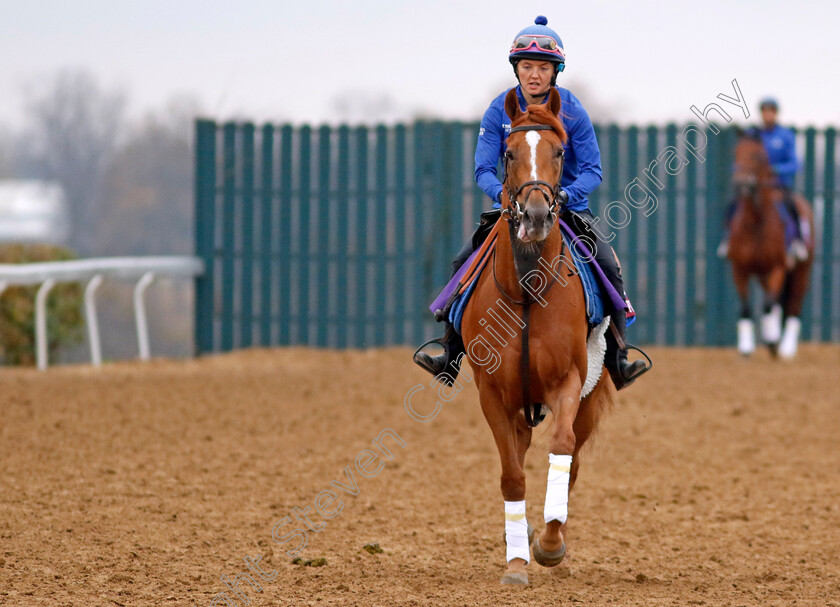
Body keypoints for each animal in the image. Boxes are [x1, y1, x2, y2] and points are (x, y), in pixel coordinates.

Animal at [462, 88, 612, 588]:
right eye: (508, 152)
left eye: (560, 151)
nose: (536, 214)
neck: (529, 290)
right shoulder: (493, 394)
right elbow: (512, 475)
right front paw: (515, 565)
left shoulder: (568, 382)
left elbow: (562, 450)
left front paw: (549, 544)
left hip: (588, 396)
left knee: (573, 460)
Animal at [728, 131, 812, 358]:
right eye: (736, 152)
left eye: (757, 155)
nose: (741, 184)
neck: (756, 221)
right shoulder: (739, 269)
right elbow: (746, 307)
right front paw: (746, 348)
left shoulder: (778, 267)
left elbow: (767, 305)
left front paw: (773, 341)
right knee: (775, 301)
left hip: (802, 270)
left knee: (793, 305)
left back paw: (785, 347)